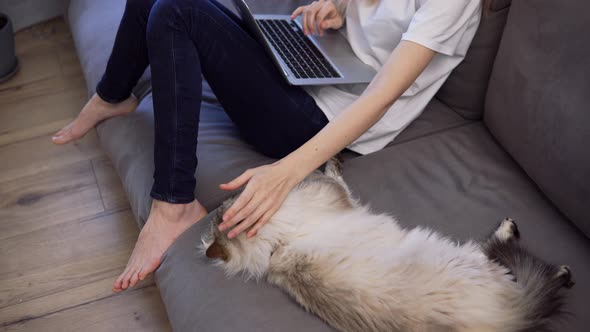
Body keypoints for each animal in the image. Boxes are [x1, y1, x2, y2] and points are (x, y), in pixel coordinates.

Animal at [202, 158, 572, 332]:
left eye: (230, 200)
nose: (223, 201)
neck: (275, 246)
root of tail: (514, 319)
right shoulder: (332, 193)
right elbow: (330, 175)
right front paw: (330, 162)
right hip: (469, 259)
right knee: (502, 254)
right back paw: (556, 266)